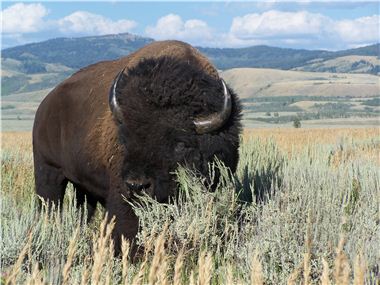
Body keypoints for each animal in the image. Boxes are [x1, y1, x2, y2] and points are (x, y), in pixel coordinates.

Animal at [31, 40, 240, 253]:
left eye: (180, 144)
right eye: (126, 138)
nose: (137, 185)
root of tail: (44, 106)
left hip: (82, 185)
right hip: (48, 171)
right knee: (49, 205)